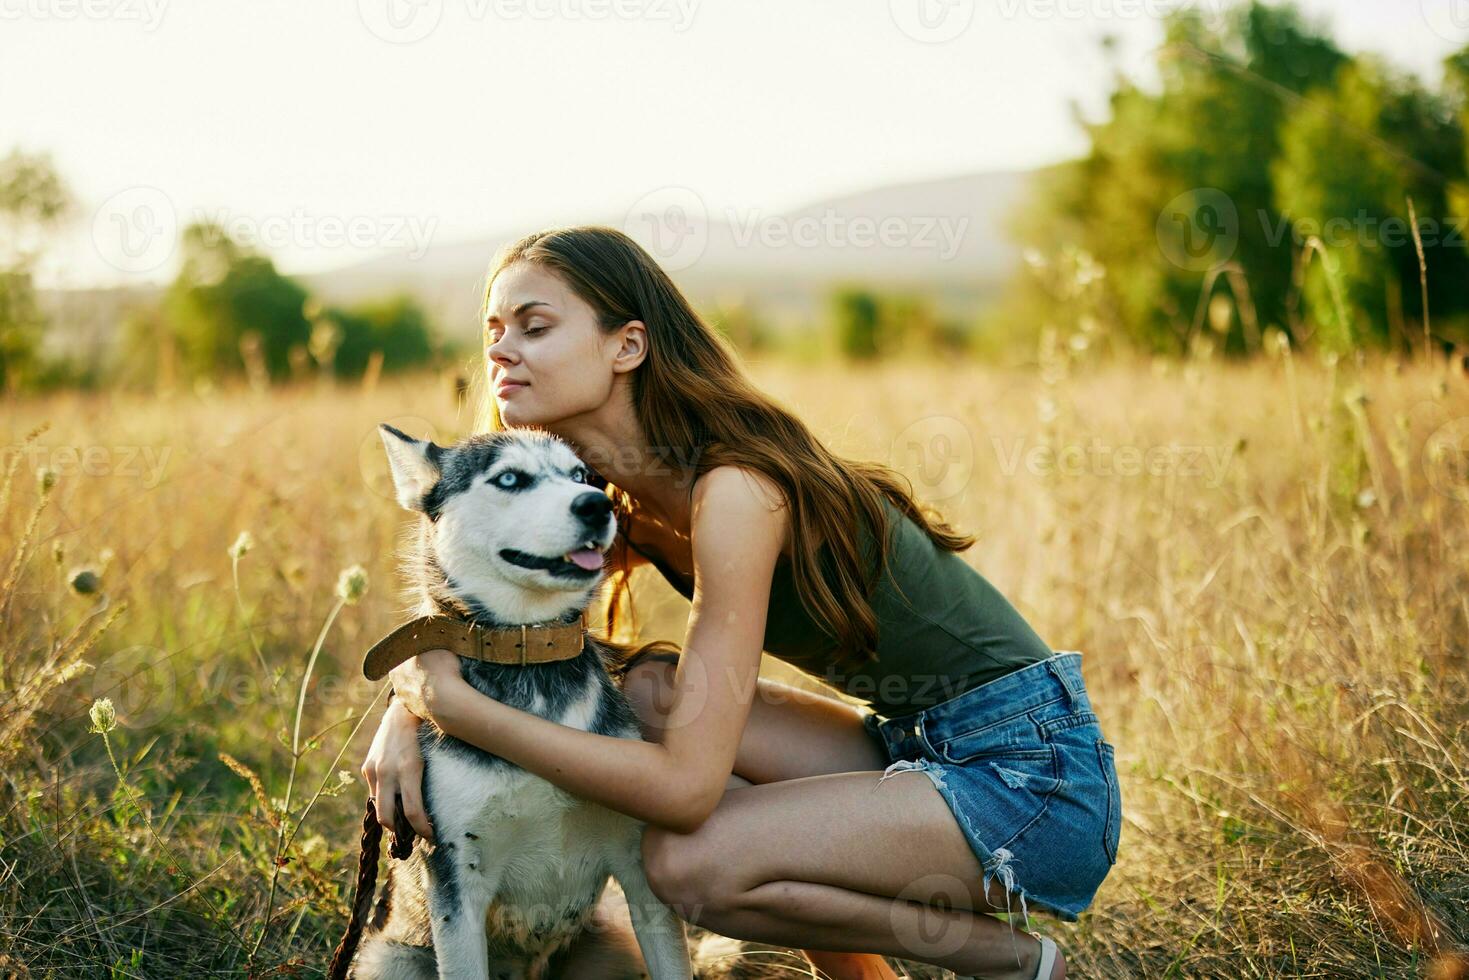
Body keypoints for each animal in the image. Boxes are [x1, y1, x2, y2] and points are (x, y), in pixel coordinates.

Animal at [336, 426, 690, 980]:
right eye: (509, 479)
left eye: (582, 476)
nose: (596, 505)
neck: (527, 649)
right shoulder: (458, 885)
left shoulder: (640, 874)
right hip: (389, 957)